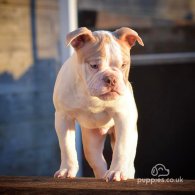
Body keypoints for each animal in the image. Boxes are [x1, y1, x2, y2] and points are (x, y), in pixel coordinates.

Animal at [53, 27, 143, 181]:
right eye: (94, 66)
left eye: (123, 65)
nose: (111, 79)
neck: (92, 97)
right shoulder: (63, 118)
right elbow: (66, 146)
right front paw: (67, 170)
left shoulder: (123, 117)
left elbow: (121, 148)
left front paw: (117, 171)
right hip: (92, 140)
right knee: (97, 161)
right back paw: (102, 174)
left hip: (131, 135)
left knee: (128, 159)